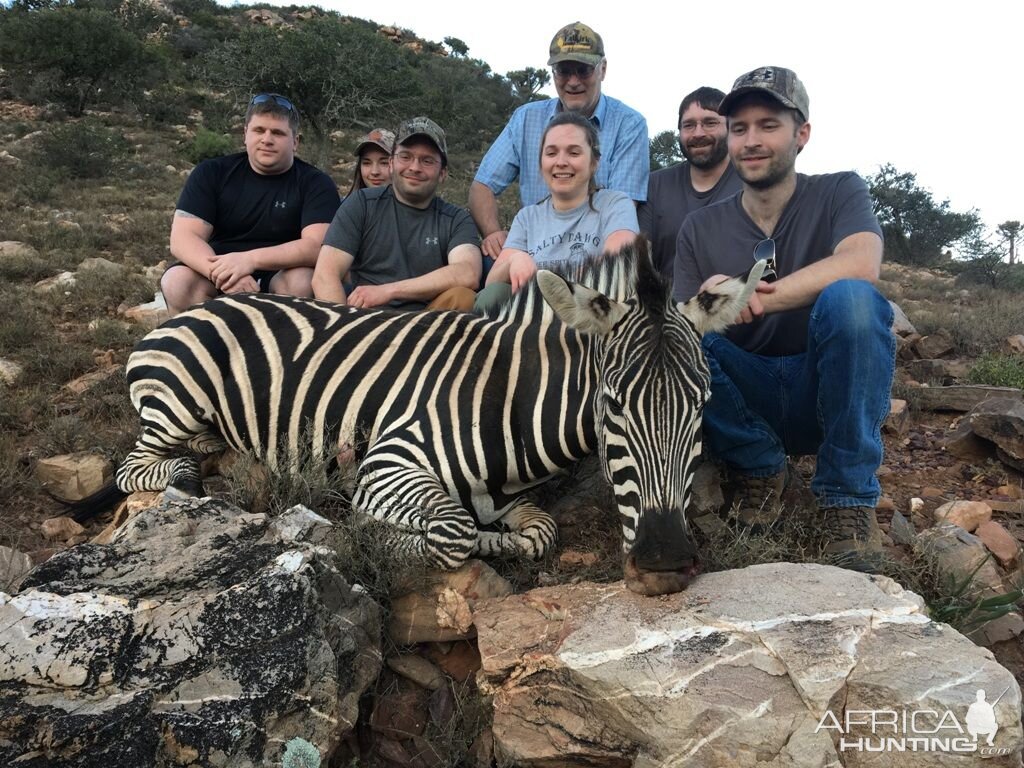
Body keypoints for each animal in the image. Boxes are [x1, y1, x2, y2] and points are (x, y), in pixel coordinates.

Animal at [94, 240, 761, 593]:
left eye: (702, 407)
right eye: (612, 404)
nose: (665, 563)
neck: (510, 396)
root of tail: (190, 312)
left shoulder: (513, 497)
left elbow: (536, 532)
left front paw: (502, 538)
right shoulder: (389, 462)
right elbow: (451, 533)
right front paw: (373, 533)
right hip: (177, 405)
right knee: (139, 467)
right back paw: (191, 473)